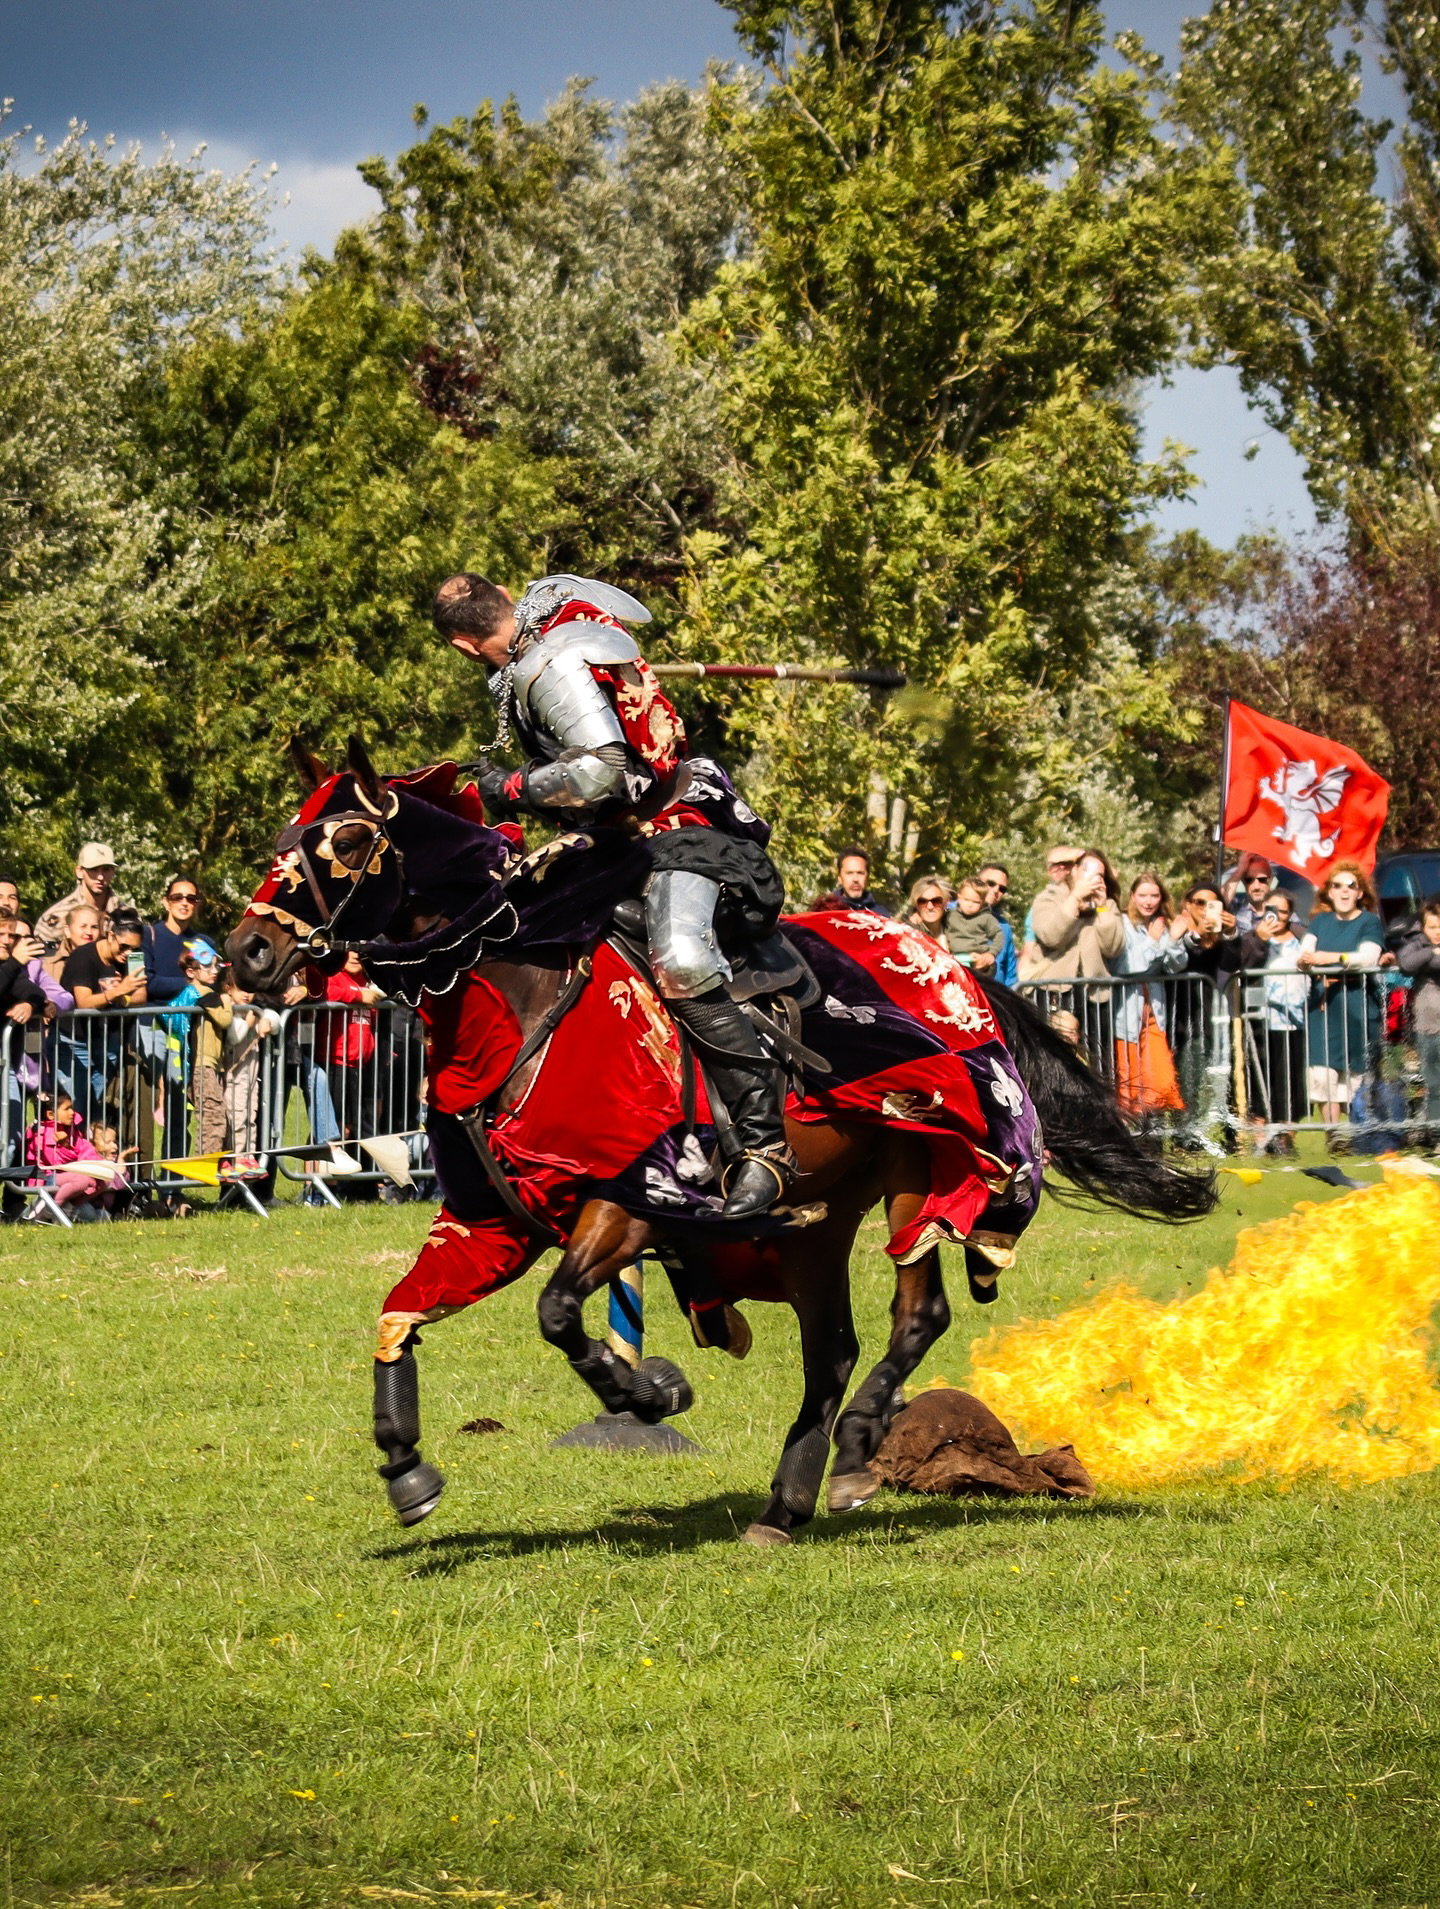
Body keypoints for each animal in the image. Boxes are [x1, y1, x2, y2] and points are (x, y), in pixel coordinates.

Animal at [227, 741, 1216, 1545]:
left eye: (349, 839)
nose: (247, 954)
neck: (518, 995)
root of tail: (950, 963)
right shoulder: (486, 1224)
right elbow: (398, 1314)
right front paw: (405, 1467)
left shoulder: (629, 1199)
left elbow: (559, 1311)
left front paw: (646, 1393)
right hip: (814, 1223)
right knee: (833, 1348)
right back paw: (786, 1500)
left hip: (923, 1168)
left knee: (917, 1312)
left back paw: (854, 1449)